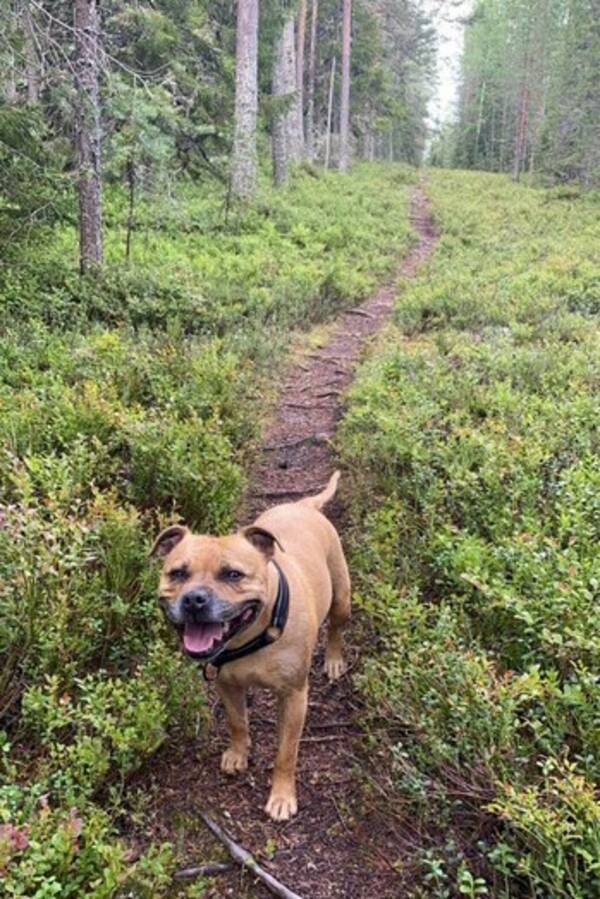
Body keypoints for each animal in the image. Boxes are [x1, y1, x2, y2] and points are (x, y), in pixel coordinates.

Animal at [150, 472, 350, 824]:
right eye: (177, 573)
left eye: (233, 574)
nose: (194, 599)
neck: (252, 634)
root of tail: (303, 505)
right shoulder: (227, 685)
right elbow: (237, 722)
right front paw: (238, 754)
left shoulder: (294, 697)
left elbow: (286, 752)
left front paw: (281, 797)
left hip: (342, 596)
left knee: (337, 627)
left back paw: (334, 660)